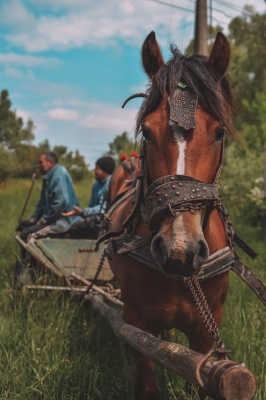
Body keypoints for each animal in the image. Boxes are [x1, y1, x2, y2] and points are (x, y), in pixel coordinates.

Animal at [101, 32, 236, 400]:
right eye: (147, 131)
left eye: (219, 132)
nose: (180, 249)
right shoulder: (135, 322)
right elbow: (147, 381)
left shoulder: (206, 333)